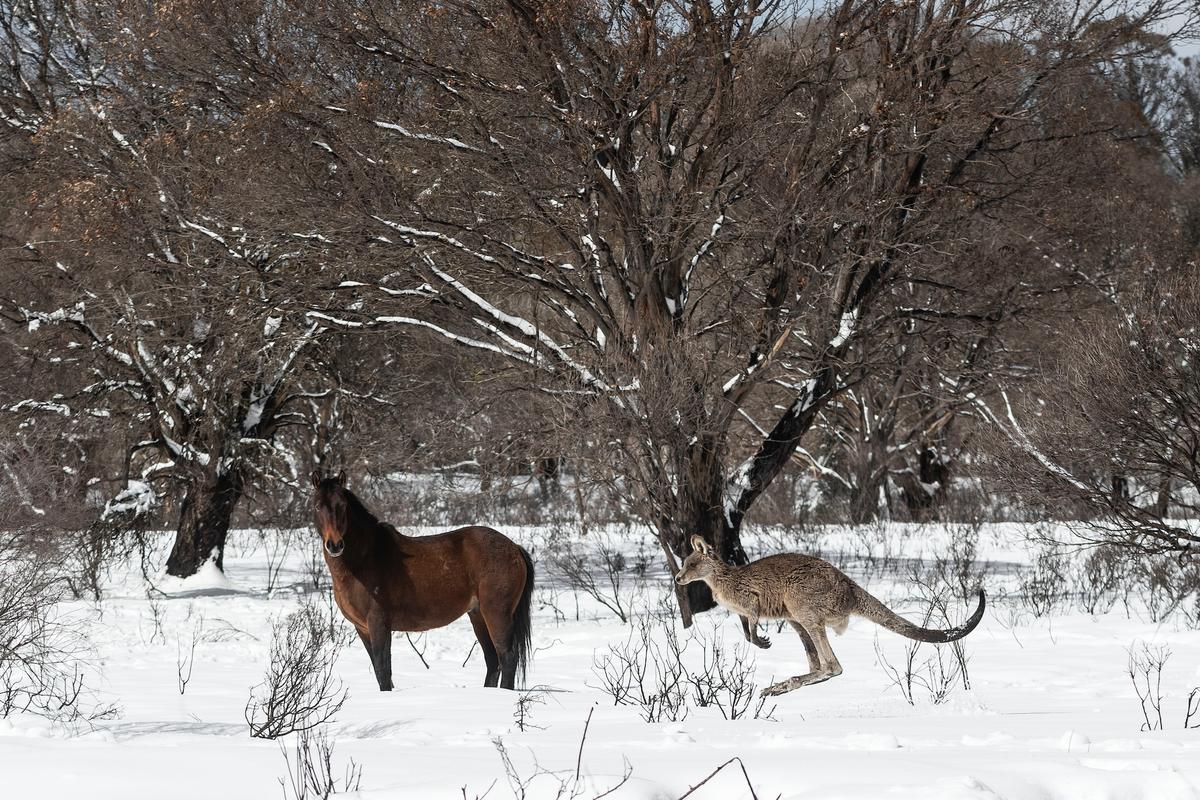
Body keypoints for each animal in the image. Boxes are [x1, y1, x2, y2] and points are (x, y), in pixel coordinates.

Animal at [310, 470, 534, 691]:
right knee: (493, 661)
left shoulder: (378, 623)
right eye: (317, 506)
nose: (335, 545)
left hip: (496, 614)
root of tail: (514, 548)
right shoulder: (362, 628)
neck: (363, 560)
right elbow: (379, 672)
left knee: (507, 658)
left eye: (342, 505)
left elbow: (384, 672)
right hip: (478, 615)